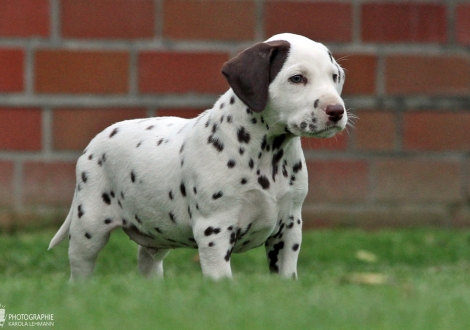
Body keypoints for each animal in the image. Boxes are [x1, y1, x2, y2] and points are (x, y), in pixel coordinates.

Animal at [49, 33, 346, 280]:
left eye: (334, 77)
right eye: (297, 78)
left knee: (148, 262)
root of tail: (94, 143)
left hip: (157, 233)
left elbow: (286, 277)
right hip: (89, 228)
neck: (269, 155)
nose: (337, 111)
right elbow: (221, 279)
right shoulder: (215, 230)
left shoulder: (289, 229)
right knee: (80, 269)